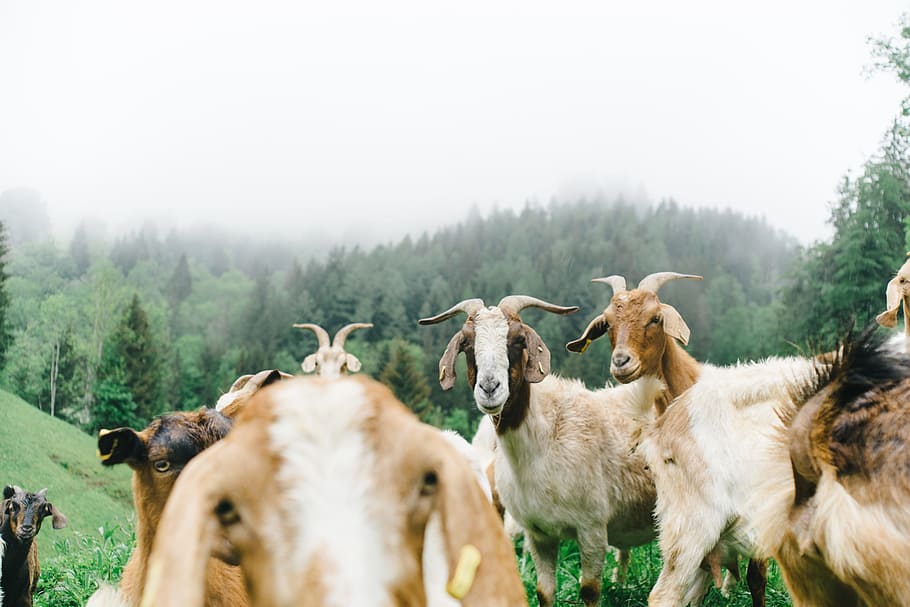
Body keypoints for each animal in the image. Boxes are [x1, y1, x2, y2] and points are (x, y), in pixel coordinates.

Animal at [420, 295, 663, 607]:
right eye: (467, 343)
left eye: (518, 340)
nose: (489, 387)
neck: (543, 441)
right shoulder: (538, 533)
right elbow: (543, 591)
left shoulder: (592, 528)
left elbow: (589, 590)